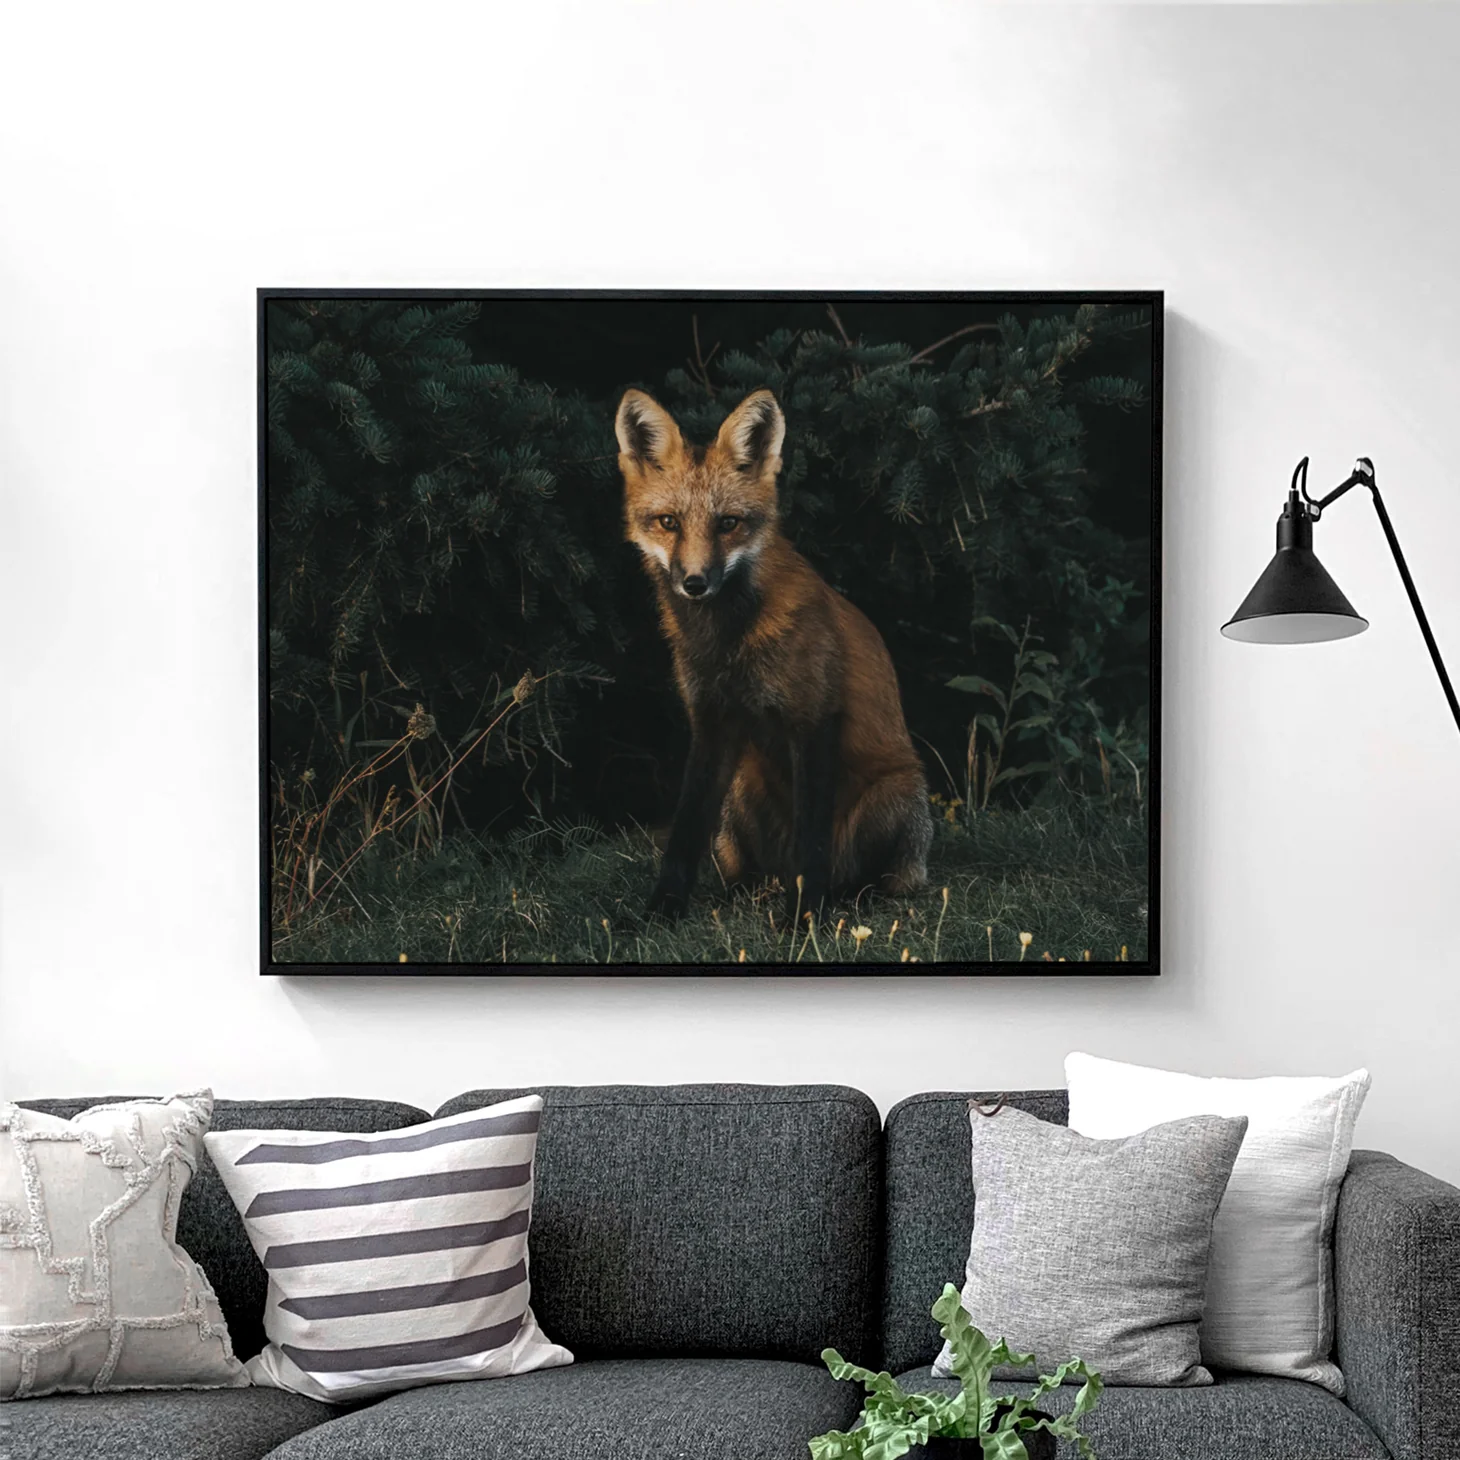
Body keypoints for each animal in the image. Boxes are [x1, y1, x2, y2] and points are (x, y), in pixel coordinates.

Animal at [615, 386, 933, 925]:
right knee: (748, 870)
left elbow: (811, 841)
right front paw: (662, 910)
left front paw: (804, 919)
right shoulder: (711, 721)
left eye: (728, 523)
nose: (695, 583)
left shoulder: (814, 718)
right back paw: (747, 892)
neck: (727, 644)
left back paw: (845, 897)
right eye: (668, 523)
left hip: (899, 796)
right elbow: (684, 832)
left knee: (876, 879)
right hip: (740, 793)